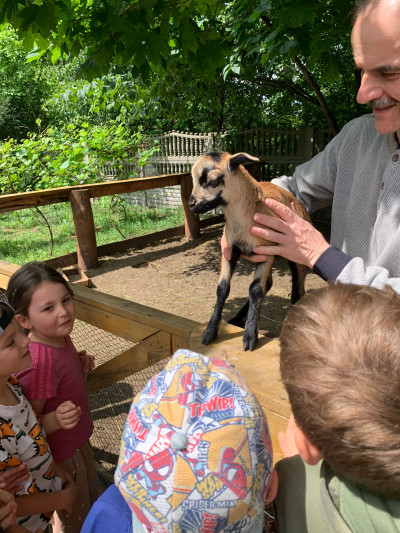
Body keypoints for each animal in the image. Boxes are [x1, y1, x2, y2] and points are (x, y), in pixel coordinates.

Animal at [189, 151, 310, 350]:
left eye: (213, 181)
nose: (191, 204)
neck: (242, 221)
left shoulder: (266, 253)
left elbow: (255, 290)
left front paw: (250, 336)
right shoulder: (229, 251)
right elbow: (222, 288)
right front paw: (210, 332)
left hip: (295, 257)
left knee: (297, 291)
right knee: (269, 284)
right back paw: (238, 318)